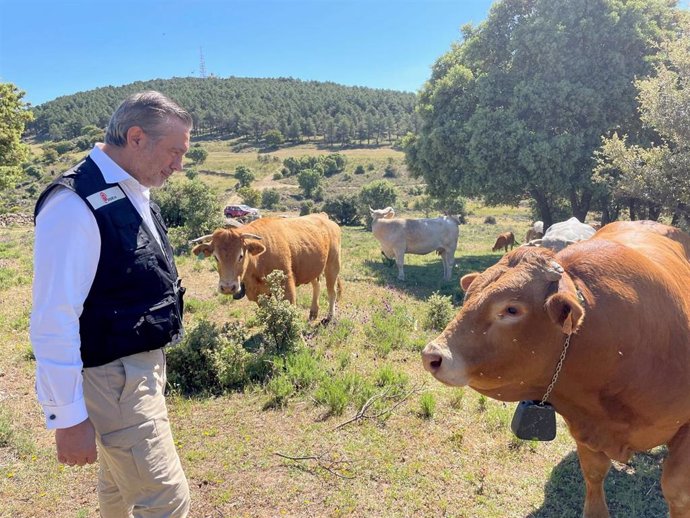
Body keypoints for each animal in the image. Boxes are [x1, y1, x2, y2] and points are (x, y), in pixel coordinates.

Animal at [191, 213, 342, 322]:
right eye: (216, 257)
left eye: (241, 255)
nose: (228, 287)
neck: (258, 264)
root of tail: (323, 216)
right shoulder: (258, 296)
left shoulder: (287, 287)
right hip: (313, 268)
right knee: (317, 285)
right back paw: (313, 312)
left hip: (333, 265)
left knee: (332, 292)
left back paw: (330, 317)